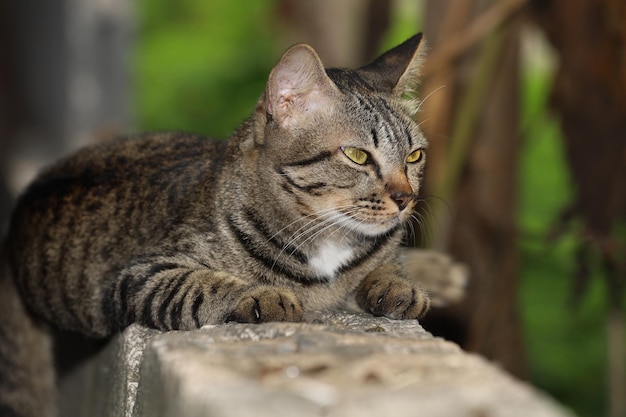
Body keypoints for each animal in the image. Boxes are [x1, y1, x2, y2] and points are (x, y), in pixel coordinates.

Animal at [0, 34, 426, 414]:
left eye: (415, 156)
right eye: (357, 156)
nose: (406, 198)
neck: (328, 240)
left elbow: (388, 266)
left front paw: (397, 285)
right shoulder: (139, 276)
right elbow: (201, 285)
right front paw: (261, 294)